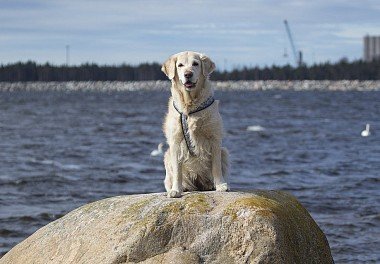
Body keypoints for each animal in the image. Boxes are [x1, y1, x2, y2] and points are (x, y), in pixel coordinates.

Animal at [160, 50, 229, 197]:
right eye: (180, 65)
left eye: (195, 64)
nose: (188, 74)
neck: (190, 105)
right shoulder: (175, 142)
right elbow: (177, 171)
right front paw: (176, 190)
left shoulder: (214, 139)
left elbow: (216, 166)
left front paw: (220, 185)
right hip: (167, 155)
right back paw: (182, 187)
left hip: (224, 152)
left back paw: (209, 185)